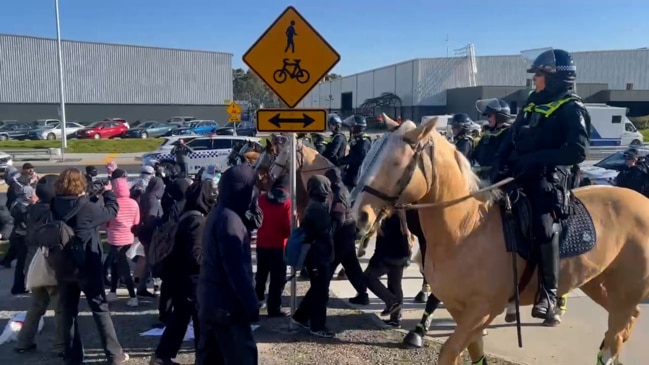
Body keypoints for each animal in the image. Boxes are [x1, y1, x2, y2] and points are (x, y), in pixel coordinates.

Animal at [352, 118, 648, 362]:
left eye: (394, 163)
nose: (359, 214)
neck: (467, 228)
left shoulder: (482, 310)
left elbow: (449, 351)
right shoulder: (460, 310)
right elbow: (474, 352)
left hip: (626, 292)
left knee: (617, 332)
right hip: (598, 283)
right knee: (623, 325)